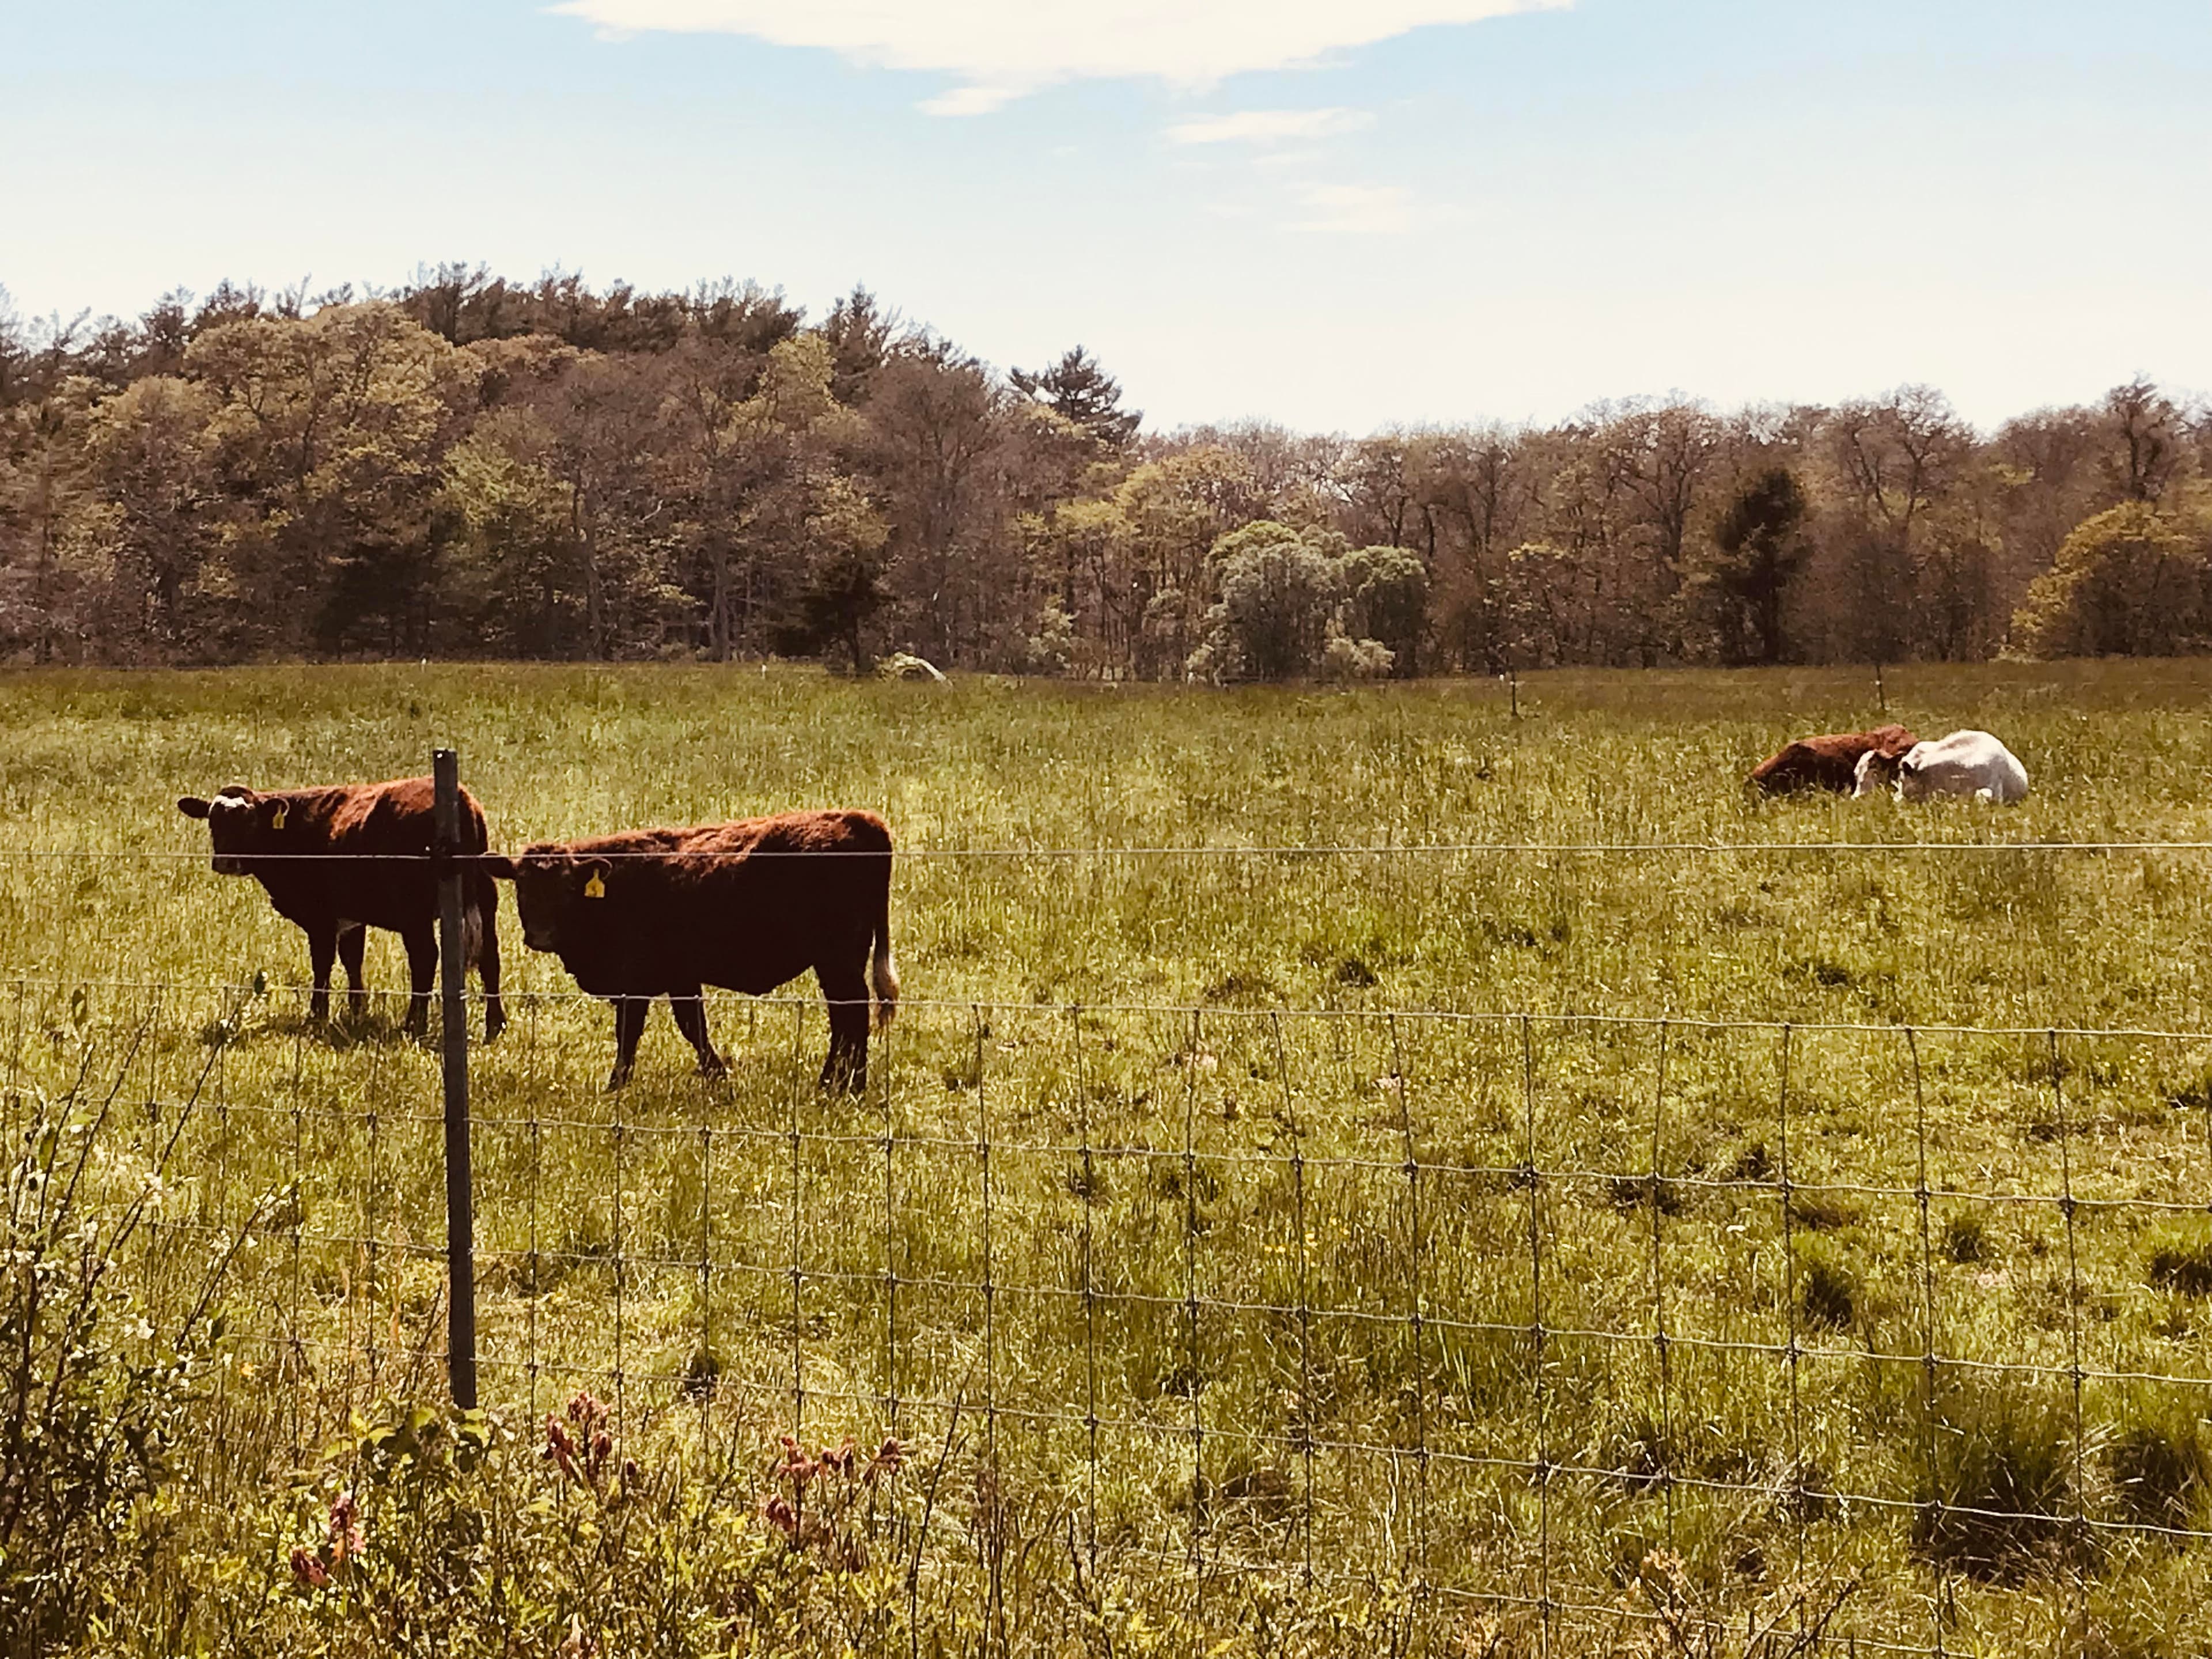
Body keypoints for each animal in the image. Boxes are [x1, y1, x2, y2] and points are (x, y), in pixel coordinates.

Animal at [177, 778, 506, 1039]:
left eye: (250, 821)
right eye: (212, 821)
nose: (225, 862)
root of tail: (461, 800)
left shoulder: (320, 916)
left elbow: (323, 963)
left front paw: (317, 1016)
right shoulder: (352, 915)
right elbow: (352, 959)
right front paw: (357, 1010)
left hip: (414, 910)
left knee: (425, 958)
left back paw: (414, 1024)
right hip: (485, 899)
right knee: (490, 957)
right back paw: (495, 1025)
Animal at [486, 814, 898, 1097]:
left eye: (567, 888)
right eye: (522, 887)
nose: (541, 936)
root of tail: (858, 818)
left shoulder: (639, 984)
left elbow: (638, 1033)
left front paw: (616, 1085)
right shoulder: (680, 979)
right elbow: (692, 1027)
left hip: (837, 961)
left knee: (851, 1012)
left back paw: (844, 1084)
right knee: (845, 1017)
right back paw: (837, 1082)